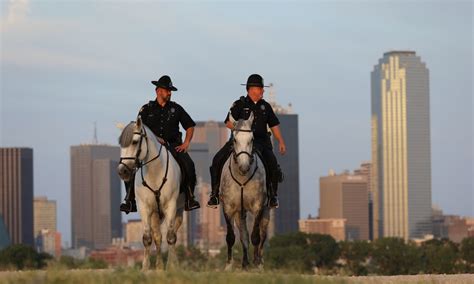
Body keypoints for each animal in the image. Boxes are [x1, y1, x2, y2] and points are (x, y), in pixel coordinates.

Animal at [117, 117, 184, 270]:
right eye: (121, 144)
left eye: (135, 141)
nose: (122, 171)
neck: (155, 171)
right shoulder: (144, 208)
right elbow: (148, 238)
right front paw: (145, 267)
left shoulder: (171, 206)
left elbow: (170, 237)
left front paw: (172, 266)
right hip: (155, 214)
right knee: (158, 236)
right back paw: (159, 266)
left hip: (178, 211)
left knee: (173, 234)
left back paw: (173, 262)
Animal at [219, 112, 268, 270]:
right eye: (234, 139)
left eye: (251, 139)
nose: (244, 166)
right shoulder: (228, 208)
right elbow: (231, 237)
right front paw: (229, 264)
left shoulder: (259, 207)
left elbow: (256, 237)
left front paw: (257, 264)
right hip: (240, 213)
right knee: (243, 235)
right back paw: (245, 262)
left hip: (266, 210)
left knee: (262, 236)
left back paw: (259, 260)